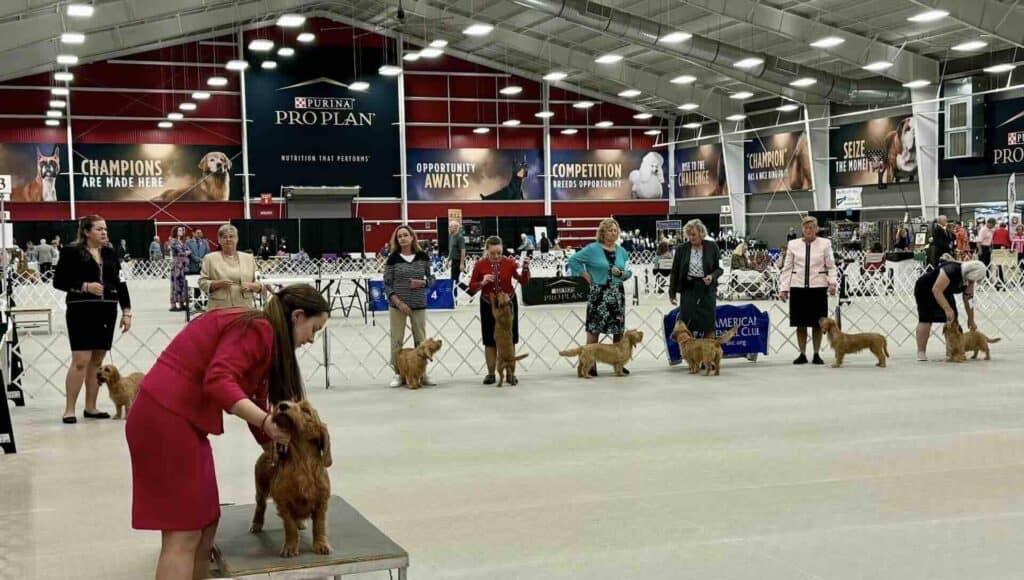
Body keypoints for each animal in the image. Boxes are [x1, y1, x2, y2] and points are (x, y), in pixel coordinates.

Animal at [248, 399, 331, 557]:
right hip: (261, 489)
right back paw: (256, 524)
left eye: (306, 410)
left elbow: (319, 525)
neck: (301, 462)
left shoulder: (321, 502)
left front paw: (321, 544)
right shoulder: (284, 503)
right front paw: (290, 547)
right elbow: (290, 527)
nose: (282, 405)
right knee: (261, 506)